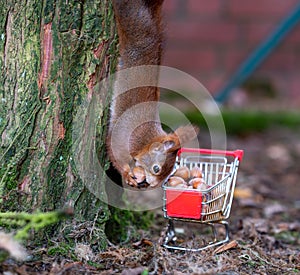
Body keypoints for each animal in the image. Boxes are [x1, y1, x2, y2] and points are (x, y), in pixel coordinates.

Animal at [106, 0, 198, 188]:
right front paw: (126, 174)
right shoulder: (122, 136)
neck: (145, 140)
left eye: (169, 174)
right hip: (130, 18)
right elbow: (113, 152)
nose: (150, 185)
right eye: (157, 168)